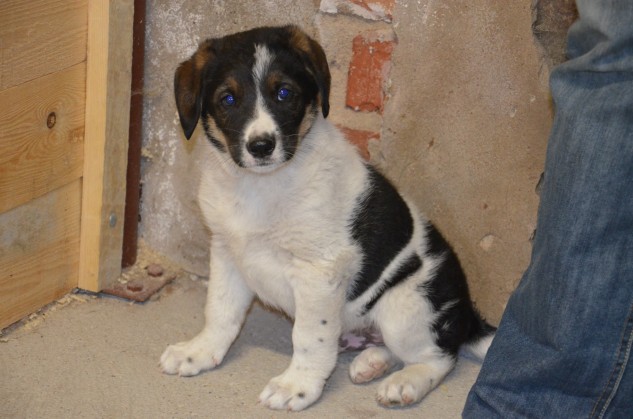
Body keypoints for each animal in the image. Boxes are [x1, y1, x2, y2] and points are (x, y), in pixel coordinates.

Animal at [160, 25, 495, 411]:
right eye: (227, 99)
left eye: (284, 93)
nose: (261, 146)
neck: (260, 187)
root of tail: (466, 315)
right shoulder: (227, 252)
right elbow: (219, 311)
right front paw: (198, 352)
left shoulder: (319, 271)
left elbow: (309, 337)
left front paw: (298, 385)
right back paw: (371, 362)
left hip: (407, 305)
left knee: (439, 357)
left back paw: (403, 383)